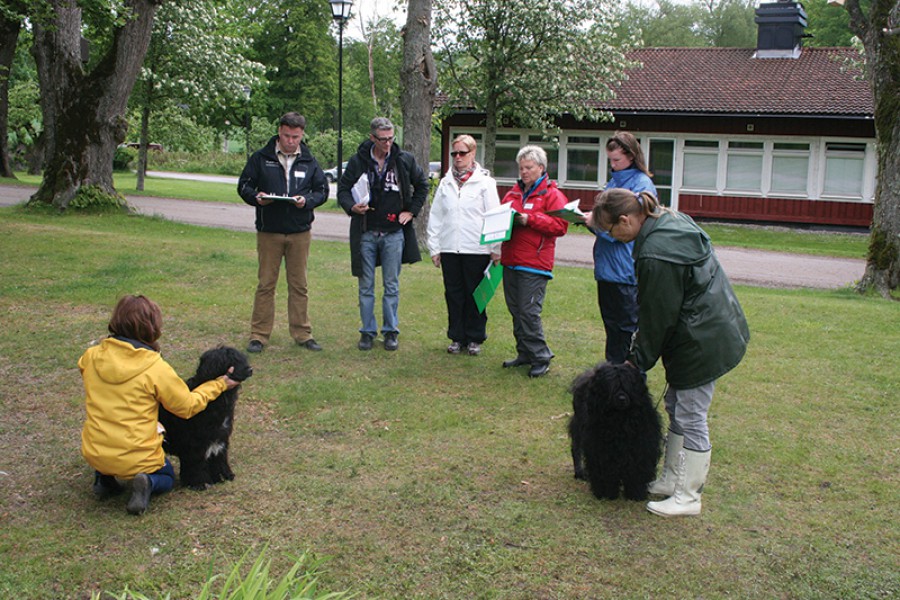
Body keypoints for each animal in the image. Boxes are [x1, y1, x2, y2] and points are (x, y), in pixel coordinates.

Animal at [159, 344, 253, 490]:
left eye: (241, 359)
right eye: (231, 361)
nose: (250, 369)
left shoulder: (219, 439)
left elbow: (218, 459)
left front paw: (222, 477)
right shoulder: (195, 443)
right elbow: (196, 464)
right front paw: (199, 483)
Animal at [568, 364, 660, 500]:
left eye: (628, 386)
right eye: (611, 387)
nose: (621, 398)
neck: (619, 420)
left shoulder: (640, 447)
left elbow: (637, 471)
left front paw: (636, 494)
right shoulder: (600, 450)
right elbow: (605, 472)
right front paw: (607, 493)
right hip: (579, 423)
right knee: (576, 448)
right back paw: (580, 472)